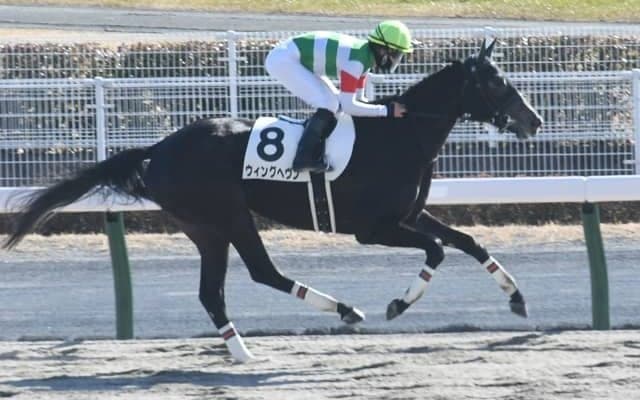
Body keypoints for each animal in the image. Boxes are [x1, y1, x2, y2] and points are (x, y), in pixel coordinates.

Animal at [3, 40, 542, 362]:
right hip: (225, 217)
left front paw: (516, 296)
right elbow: (436, 250)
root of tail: (158, 149)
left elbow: (467, 241)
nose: (534, 120)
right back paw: (320, 319)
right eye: (495, 81)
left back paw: (250, 346)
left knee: (220, 289)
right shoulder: (373, 229)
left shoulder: (411, 215)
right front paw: (397, 304)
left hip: (207, 229)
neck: (398, 135)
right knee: (256, 273)